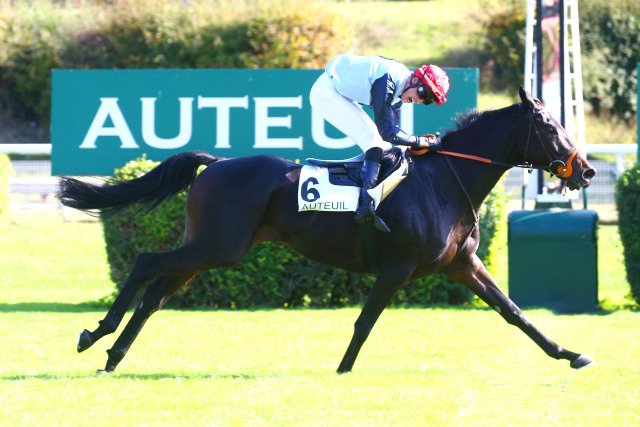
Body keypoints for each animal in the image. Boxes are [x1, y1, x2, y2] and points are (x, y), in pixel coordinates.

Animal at [58, 87, 596, 373]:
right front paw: (343, 369)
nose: (587, 171)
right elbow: (365, 321)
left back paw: (114, 354)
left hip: (208, 248)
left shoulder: (462, 265)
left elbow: (515, 313)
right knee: (146, 263)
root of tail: (216, 164)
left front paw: (570, 353)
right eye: (551, 127)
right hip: (218, 246)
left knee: (156, 294)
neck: (446, 181)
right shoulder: (397, 267)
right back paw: (95, 334)